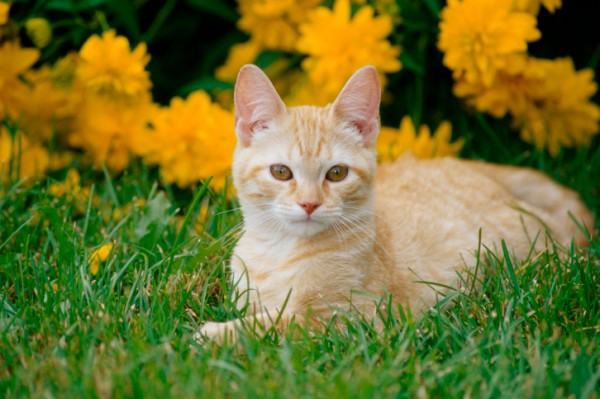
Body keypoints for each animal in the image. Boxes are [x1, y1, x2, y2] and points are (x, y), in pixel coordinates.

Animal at [196, 65, 592, 344]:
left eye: (336, 173)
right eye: (281, 172)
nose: (309, 204)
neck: (279, 252)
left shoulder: (349, 316)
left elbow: (277, 324)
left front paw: (216, 334)